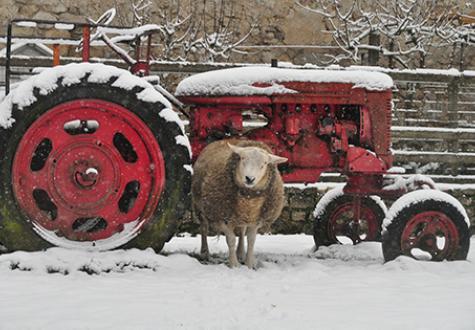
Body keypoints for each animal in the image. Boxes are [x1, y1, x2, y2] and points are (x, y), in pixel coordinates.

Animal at [192, 139, 288, 268]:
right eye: (242, 158)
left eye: (264, 163)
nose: (249, 178)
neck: (248, 202)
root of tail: (222, 140)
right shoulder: (221, 218)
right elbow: (231, 240)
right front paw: (234, 264)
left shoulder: (256, 220)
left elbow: (251, 240)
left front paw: (249, 264)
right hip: (200, 207)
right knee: (204, 228)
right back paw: (205, 252)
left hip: (241, 217)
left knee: (242, 231)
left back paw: (241, 253)